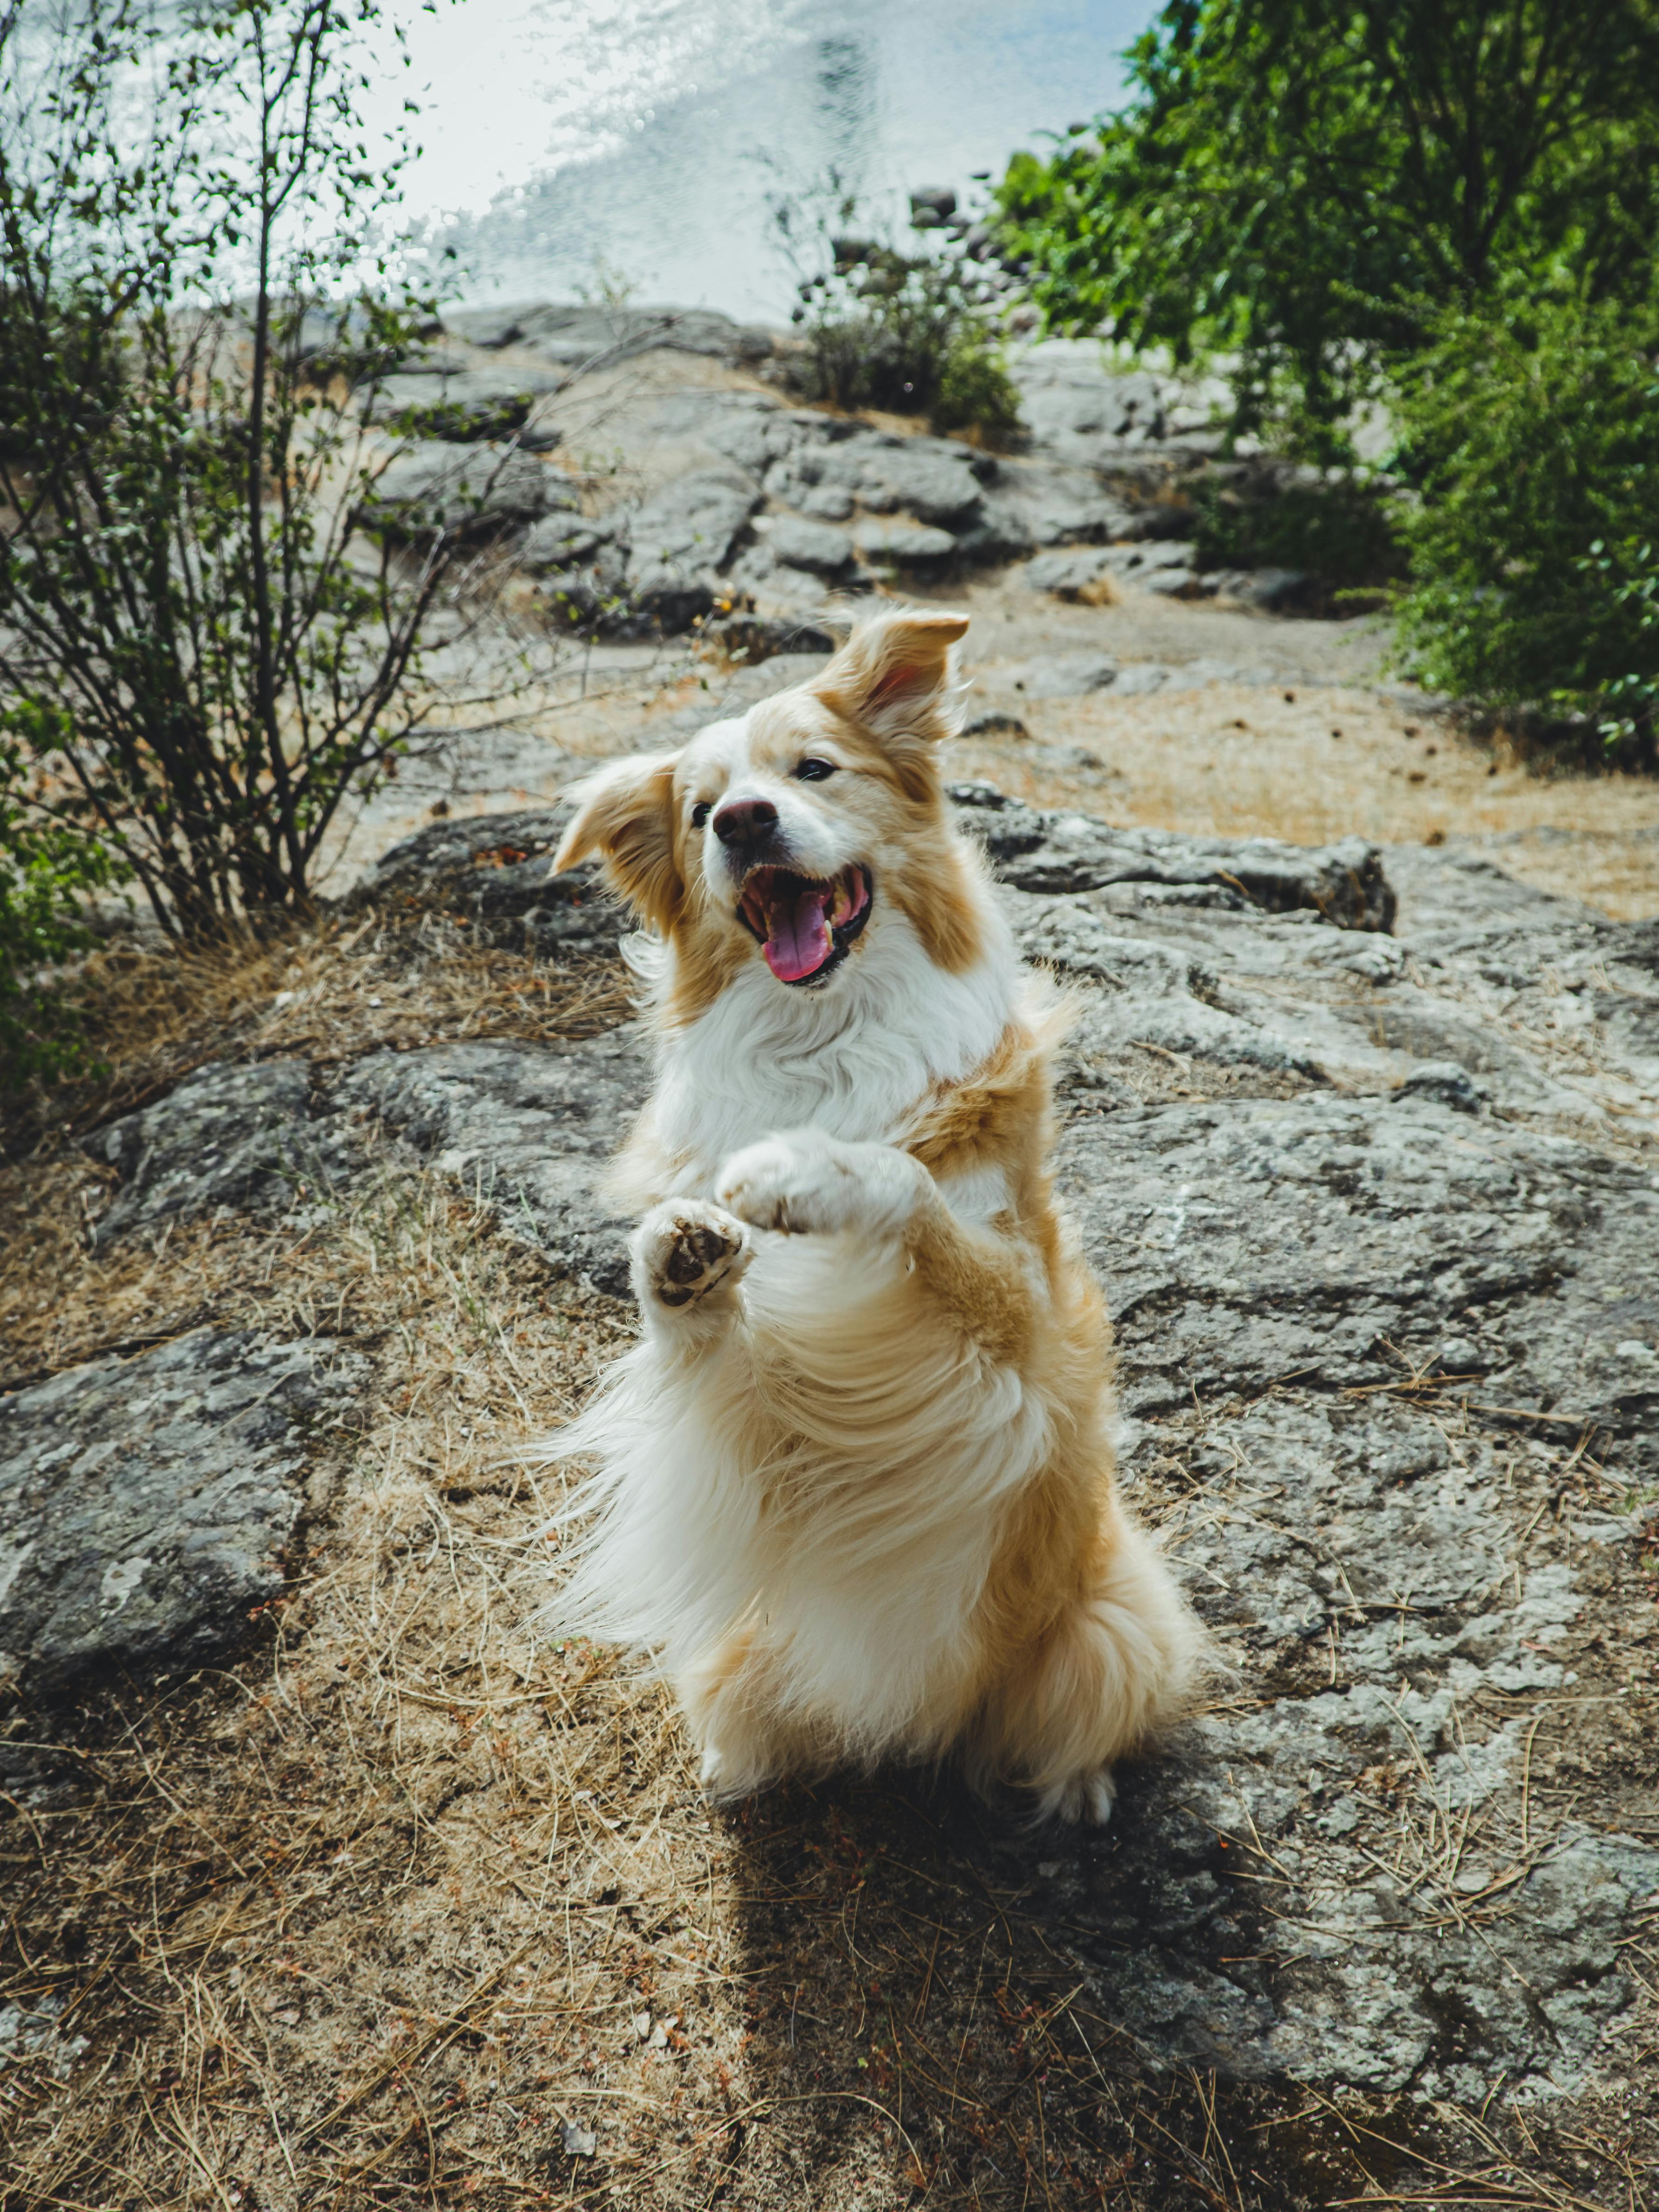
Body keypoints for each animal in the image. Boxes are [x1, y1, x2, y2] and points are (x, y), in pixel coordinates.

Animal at [546, 615, 1212, 1823]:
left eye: (814, 769)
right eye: (701, 810)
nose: (745, 820)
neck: (829, 1038)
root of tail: (938, 1734)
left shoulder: (1023, 1337)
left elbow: (904, 1183)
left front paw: (809, 1168)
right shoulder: (774, 1422)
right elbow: (708, 1343)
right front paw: (676, 1261)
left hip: (1120, 1610)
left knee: (1065, 1718)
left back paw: (1077, 1785)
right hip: (735, 1646)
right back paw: (737, 1764)